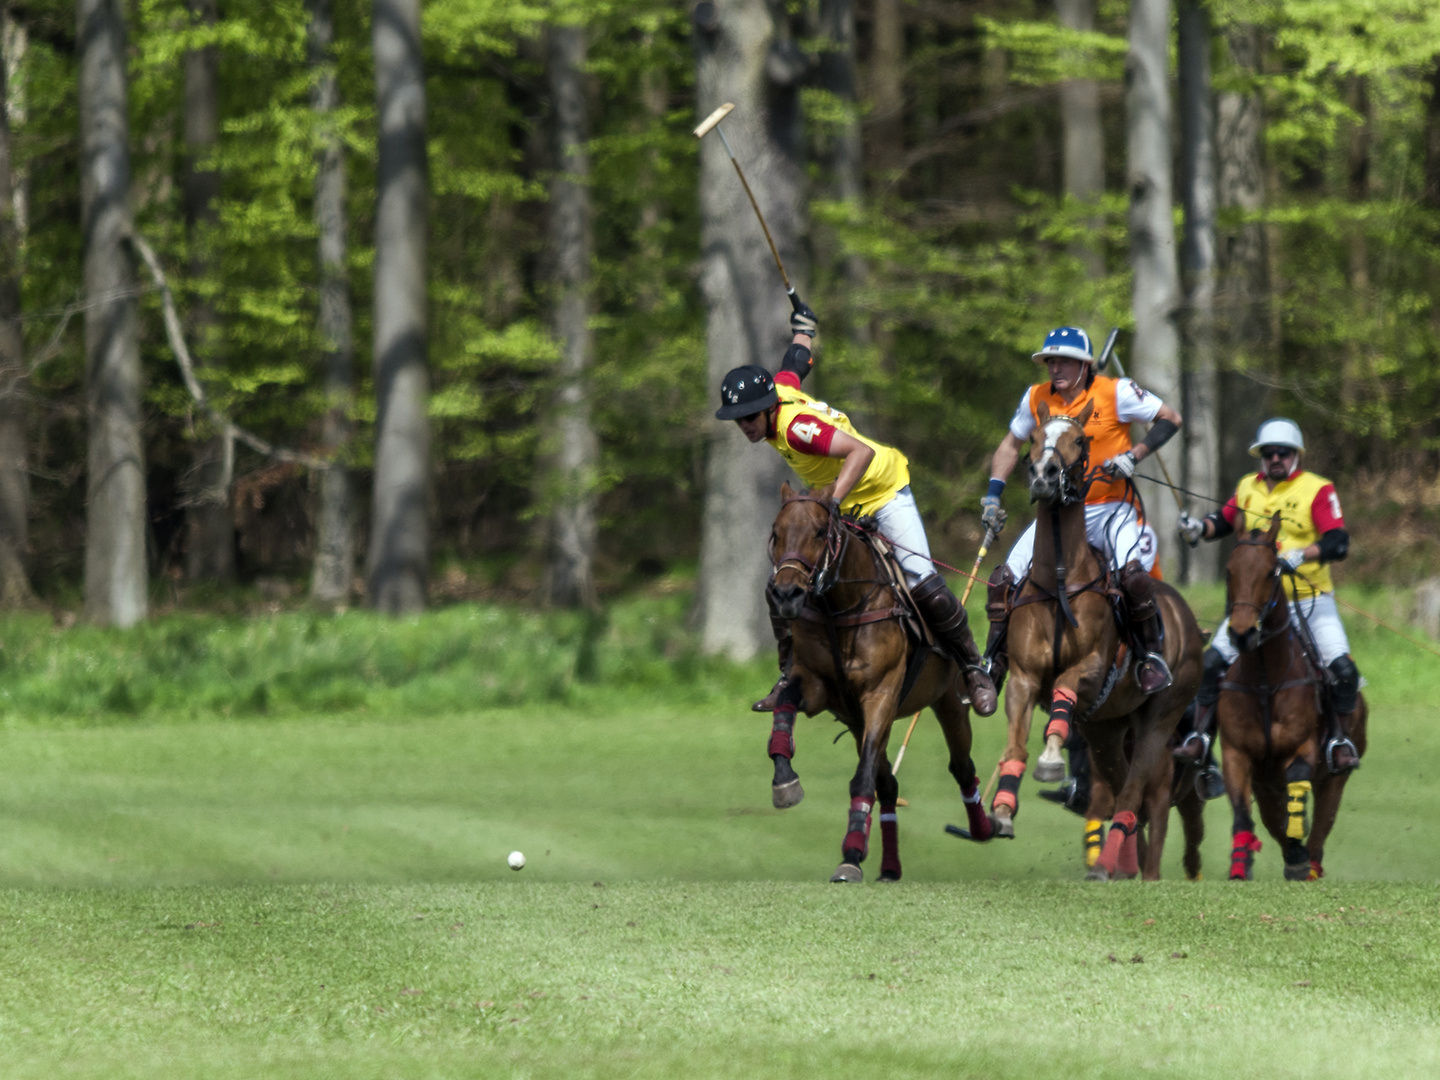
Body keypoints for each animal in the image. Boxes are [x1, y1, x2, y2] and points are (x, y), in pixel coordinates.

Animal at [771, 486, 996, 881]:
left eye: (819, 532)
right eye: (776, 533)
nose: (785, 594)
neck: (839, 608)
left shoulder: (881, 695)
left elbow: (861, 780)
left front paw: (850, 856)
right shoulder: (817, 688)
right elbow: (786, 705)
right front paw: (785, 780)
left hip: (948, 701)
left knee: (961, 766)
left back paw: (982, 827)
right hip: (859, 722)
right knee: (889, 785)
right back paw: (889, 866)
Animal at [990, 403, 1203, 881]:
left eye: (1080, 440)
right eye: (1034, 437)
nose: (1045, 476)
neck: (1060, 579)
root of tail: (1187, 616)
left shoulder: (1089, 668)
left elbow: (1064, 690)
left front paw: (1051, 761)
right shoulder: (1023, 678)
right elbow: (1014, 742)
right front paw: (1003, 809)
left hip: (1161, 715)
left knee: (1137, 792)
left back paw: (1112, 865)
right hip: (1105, 726)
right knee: (1124, 788)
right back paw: (1123, 864)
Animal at [1221, 512, 1365, 881]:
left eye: (1271, 571)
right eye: (1229, 570)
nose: (1242, 634)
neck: (1264, 680)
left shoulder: (1303, 747)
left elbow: (1298, 783)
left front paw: (1298, 846)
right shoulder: (1236, 754)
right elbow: (1241, 813)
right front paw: (1240, 865)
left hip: (1335, 779)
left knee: (1319, 831)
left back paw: (1307, 863)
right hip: (1265, 786)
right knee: (1273, 820)